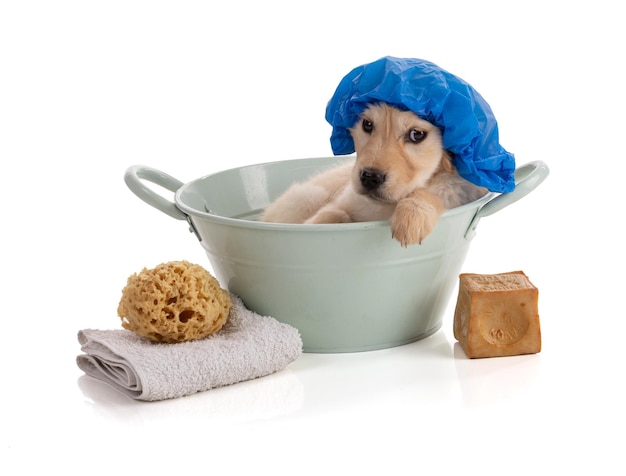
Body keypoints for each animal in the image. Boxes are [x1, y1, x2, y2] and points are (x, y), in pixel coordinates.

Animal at [258, 103, 482, 245]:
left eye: (417, 135)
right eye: (367, 124)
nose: (370, 177)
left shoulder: (456, 189)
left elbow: (430, 192)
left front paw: (412, 216)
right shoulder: (345, 198)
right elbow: (332, 212)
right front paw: (315, 226)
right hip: (308, 196)